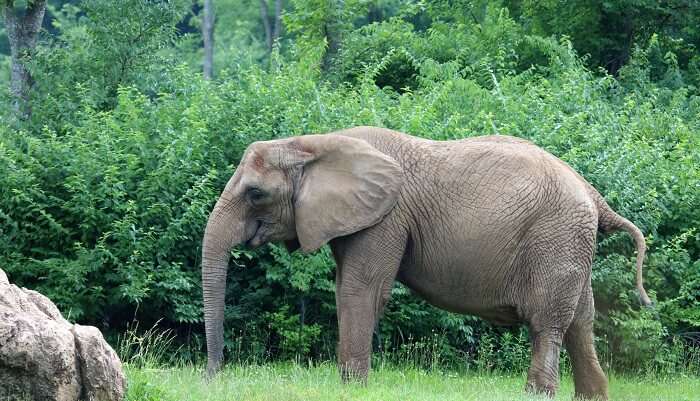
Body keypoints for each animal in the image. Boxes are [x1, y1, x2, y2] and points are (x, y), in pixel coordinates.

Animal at [201, 124, 652, 396]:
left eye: (255, 193)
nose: (213, 377)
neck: (314, 142)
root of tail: (594, 195)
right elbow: (347, 288)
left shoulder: (386, 217)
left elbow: (361, 291)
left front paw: (352, 389)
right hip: (570, 243)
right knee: (581, 321)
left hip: (555, 239)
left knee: (548, 323)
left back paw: (537, 394)